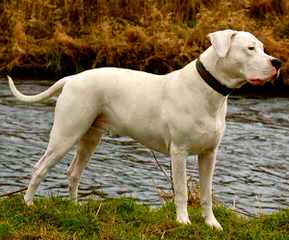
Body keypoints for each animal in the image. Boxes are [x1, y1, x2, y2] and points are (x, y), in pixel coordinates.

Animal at [7, 29, 280, 229]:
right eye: (250, 48)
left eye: (263, 47)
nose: (277, 62)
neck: (208, 91)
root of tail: (72, 78)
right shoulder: (179, 152)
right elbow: (182, 190)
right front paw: (183, 221)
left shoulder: (209, 154)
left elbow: (207, 193)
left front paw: (212, 224)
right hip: (65, 135)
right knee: (40, 168)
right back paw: (28, 204)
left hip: (90, 137)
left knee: (74, 172)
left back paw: (75, 207)